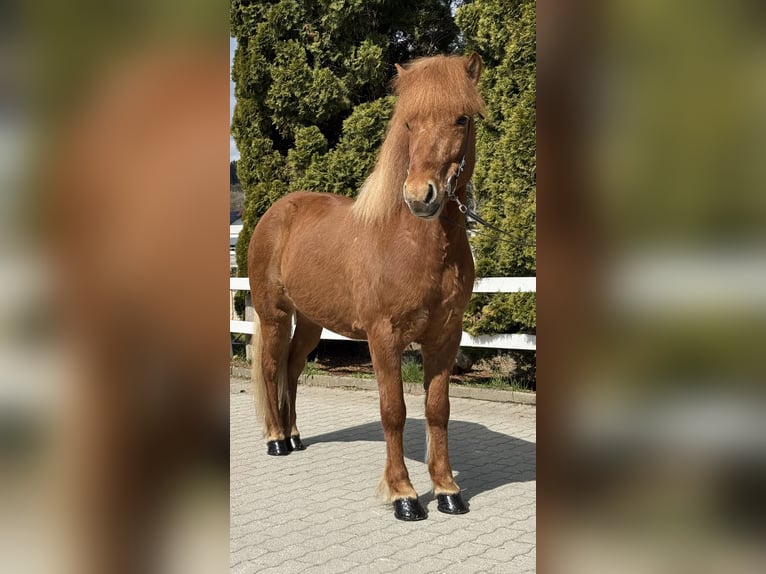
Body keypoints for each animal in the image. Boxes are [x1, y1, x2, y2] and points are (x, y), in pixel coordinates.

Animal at [248, 53, 486, 521]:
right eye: (409, 122)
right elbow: (393, 410)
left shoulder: (445, 337)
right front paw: (404, 495)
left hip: (311, 323)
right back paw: (276, 440)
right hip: (274, 316)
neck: (411, 244)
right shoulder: (383, 336)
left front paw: (447, 490)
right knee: (269, 368)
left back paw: (294, 435)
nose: (421, 196)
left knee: (291, 369)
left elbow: (437, 410)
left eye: (462, 119)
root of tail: (276, 211)